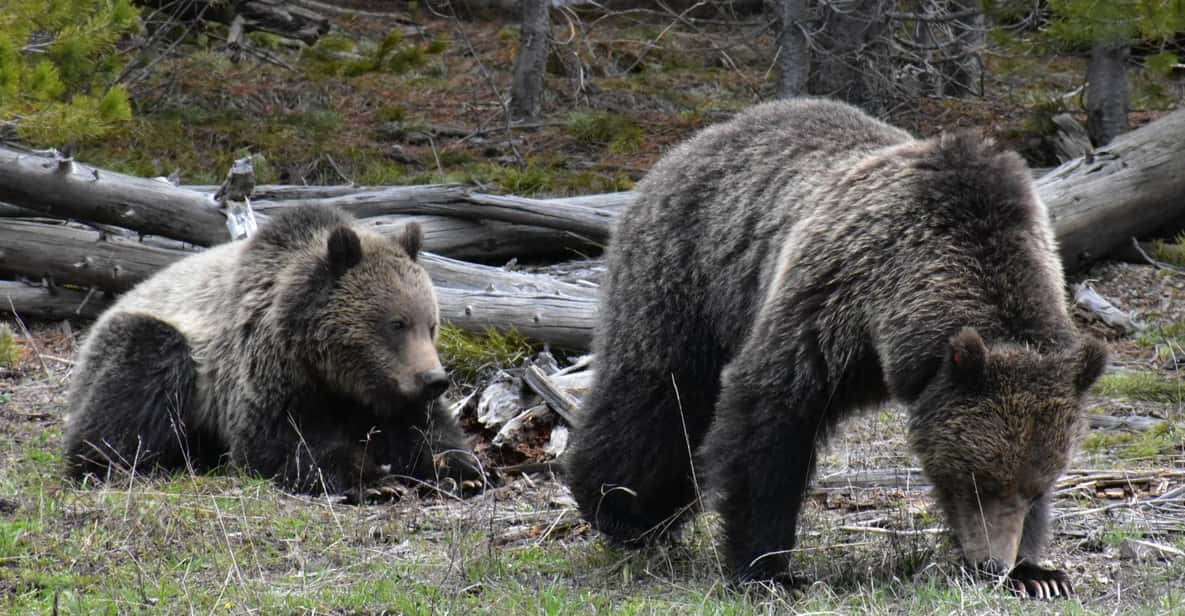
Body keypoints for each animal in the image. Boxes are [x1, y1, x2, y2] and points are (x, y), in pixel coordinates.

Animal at [63, 204, 481, 497]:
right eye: (396, 324)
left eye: (431, 324)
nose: (434, 380)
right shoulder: (267, 367)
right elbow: (279, 441)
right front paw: (374, 480)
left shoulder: (386, 393)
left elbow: (427, 430)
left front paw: (462, 473)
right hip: (156, 345)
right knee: (137, 385)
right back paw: (115, 461)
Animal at [564, 100, 1099, 597]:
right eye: (979, 479)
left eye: (1036, 488)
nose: (994, 563)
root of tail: (687, 146)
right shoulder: (835, 302)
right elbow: (770, 416)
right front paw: (769, 572)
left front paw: (1038, 574)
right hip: (689, 279)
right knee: (656, 399)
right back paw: (622, 510)